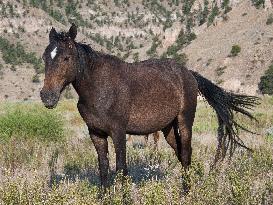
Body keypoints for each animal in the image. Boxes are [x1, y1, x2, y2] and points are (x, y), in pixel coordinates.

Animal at [39, 24, 258, 191]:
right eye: (45, 57)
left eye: (66, 58)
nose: (47, 97)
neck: (99, 88)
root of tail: (189, 73)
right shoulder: (96, 134)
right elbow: (103, 169)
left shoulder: (118, 132)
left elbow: (122, 168)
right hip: (168, 128)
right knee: (181, 155)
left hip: (185, 122)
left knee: (186, 154)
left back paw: (186, 193)